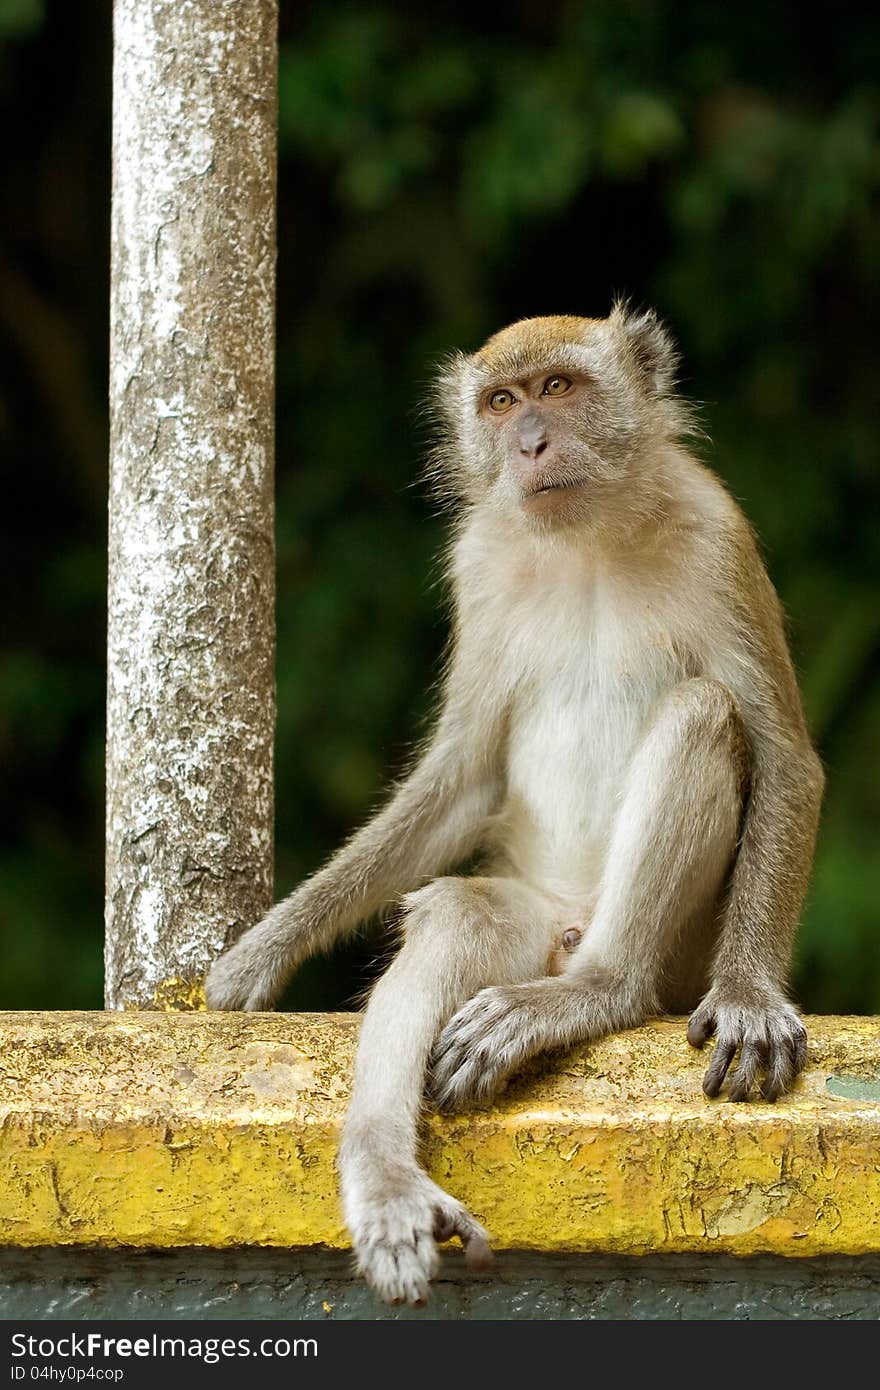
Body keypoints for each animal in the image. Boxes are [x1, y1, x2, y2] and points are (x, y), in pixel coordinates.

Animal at [205, 304, 823, 1301]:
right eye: (500, 402)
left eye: (559, 388)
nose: (530, 442)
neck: (589, 538)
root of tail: (572, 932)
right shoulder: (479, 564)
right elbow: (463, 779)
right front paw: (268, 948)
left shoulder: (716, 535)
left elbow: (783, 760)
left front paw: (749, 998)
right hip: (531, 915)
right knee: (460, 916)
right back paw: (386, 1177)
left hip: (670, 946)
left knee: (701, 715)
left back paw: (594, 993)